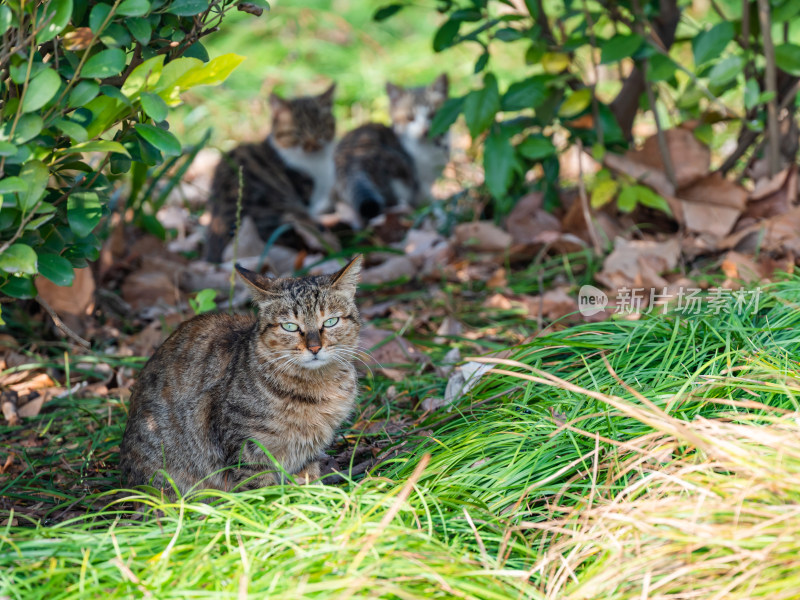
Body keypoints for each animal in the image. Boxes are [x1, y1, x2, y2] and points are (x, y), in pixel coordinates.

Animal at [119, 255, 362, 494]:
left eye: (330, 321)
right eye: (290, 326)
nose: (314, 348)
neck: (316, 387)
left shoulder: (308, 452)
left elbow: (309, 478)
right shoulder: (245, 445)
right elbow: (260, 488)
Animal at [332, 74, 450, 225]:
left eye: (433, 115)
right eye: (409, 118)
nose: (425, 130)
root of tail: (351, 163)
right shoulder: (420, 182)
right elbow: (428, 199)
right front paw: (440, 210)